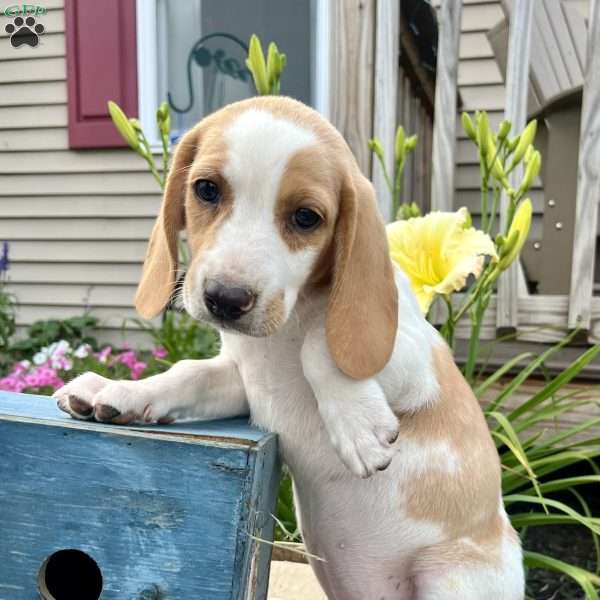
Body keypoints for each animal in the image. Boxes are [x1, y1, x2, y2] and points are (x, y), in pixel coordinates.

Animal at [56, 96, 524, 596]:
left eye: (306, 218)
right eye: (206, 189)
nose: (226, 299)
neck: (284, 330)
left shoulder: (419, 362)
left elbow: (319, 347)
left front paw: (359, 428)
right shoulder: (244, 384)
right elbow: (188, 373)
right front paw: (119, 391)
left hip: (449, 576)